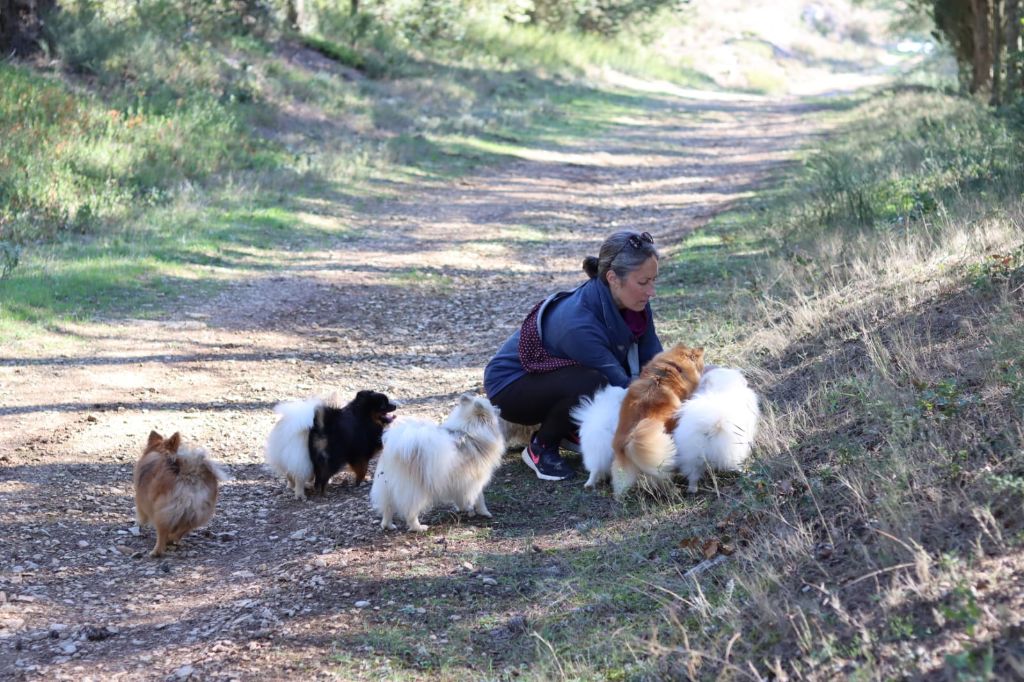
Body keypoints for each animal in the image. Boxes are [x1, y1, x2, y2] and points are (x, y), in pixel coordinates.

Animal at [372, 393, 507, 532]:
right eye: (491, 406)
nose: (499, 408)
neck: (469, 430)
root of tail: (398, 447)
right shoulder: (475, 478)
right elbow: (480, 498)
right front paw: (484, 512)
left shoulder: (458, 481)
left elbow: (461, 497)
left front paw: (463, 508)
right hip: (415, 490)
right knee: (410, 512)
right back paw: (419, 527)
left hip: (387, 486)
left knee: (387, 507)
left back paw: (388, 525)